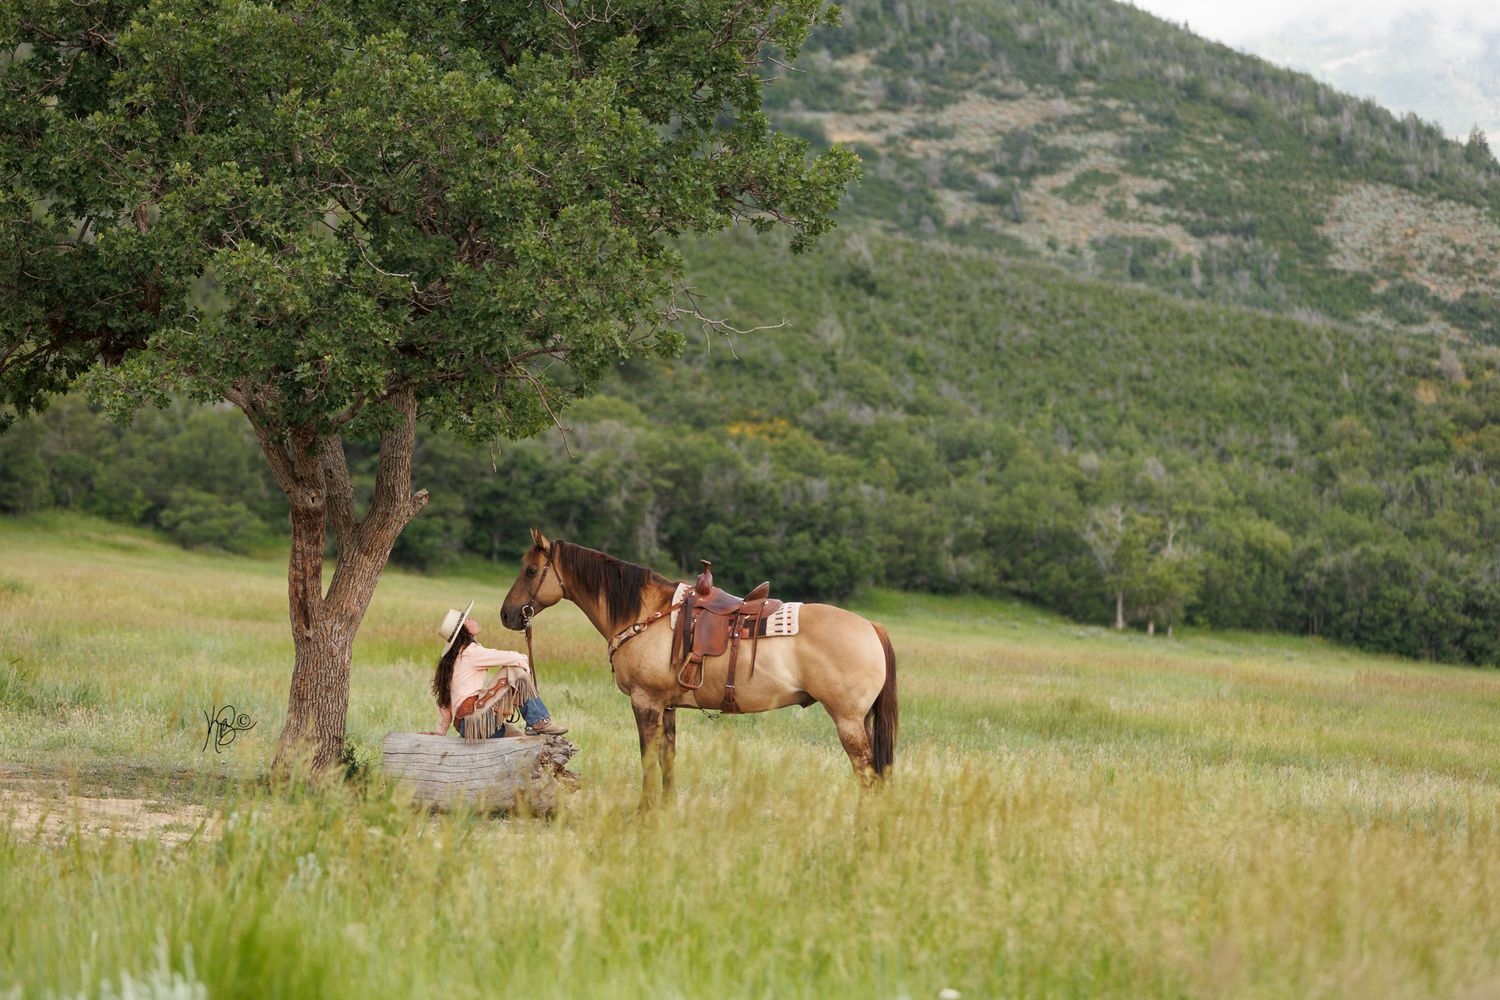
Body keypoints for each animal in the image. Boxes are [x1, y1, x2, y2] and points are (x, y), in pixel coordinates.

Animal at [499, 529, 897, 806]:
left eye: (531, 570)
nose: (507, 614)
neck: (646, 614)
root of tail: (871, 626)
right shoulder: (667, 706)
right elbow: (667, 759)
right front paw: (665, 809)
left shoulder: (645, 702)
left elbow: (647, 757)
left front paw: (644, 812)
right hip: (861, 720)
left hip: (848, 722)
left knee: (866, 774)